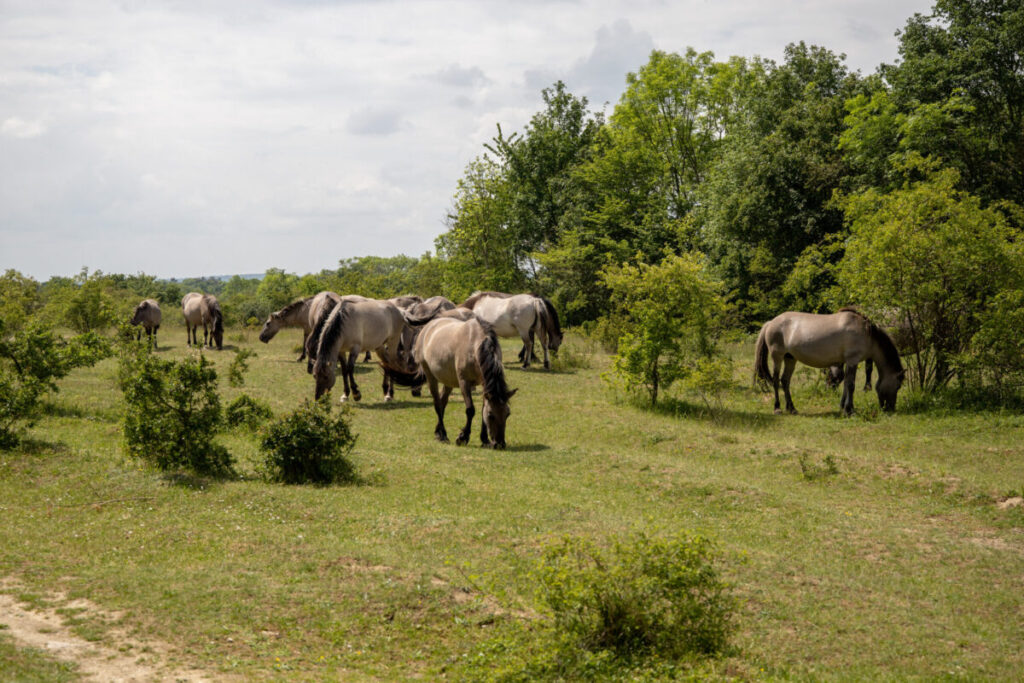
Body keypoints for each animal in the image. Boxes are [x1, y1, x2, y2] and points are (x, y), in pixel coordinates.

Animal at [753, 311, 905, 417]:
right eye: (897, 386)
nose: (890, 408)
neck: (867, 334)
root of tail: (771, 322)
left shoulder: (848, 362)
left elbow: (846, 384)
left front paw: (844, 407)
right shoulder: (853, 360)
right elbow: (851, 385)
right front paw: (850, 410)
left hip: (790, 359)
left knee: (785, 381)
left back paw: (792, 408)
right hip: (777, 358)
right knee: (776, 380)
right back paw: (777, 408)